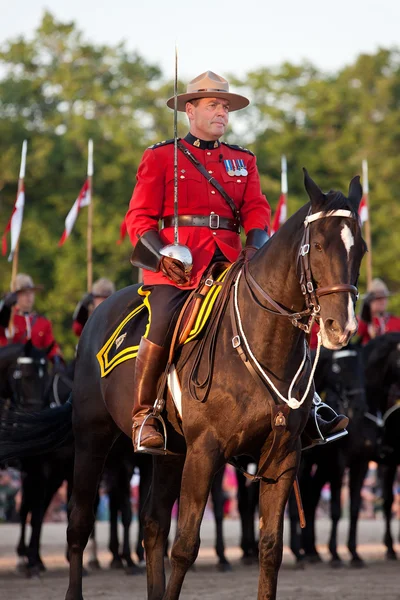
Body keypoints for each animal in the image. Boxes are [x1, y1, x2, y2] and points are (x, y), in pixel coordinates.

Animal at [0, 171, 366, 596]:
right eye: (319, 245)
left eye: (360, 248)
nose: (341, 327)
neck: (263, 341)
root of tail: (98, 314)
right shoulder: (205, 451)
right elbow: (186, 546)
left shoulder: (285, 456)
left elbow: (270, 549)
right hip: (91, 438)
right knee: (79, 522)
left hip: (170, 452)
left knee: (153, 523)